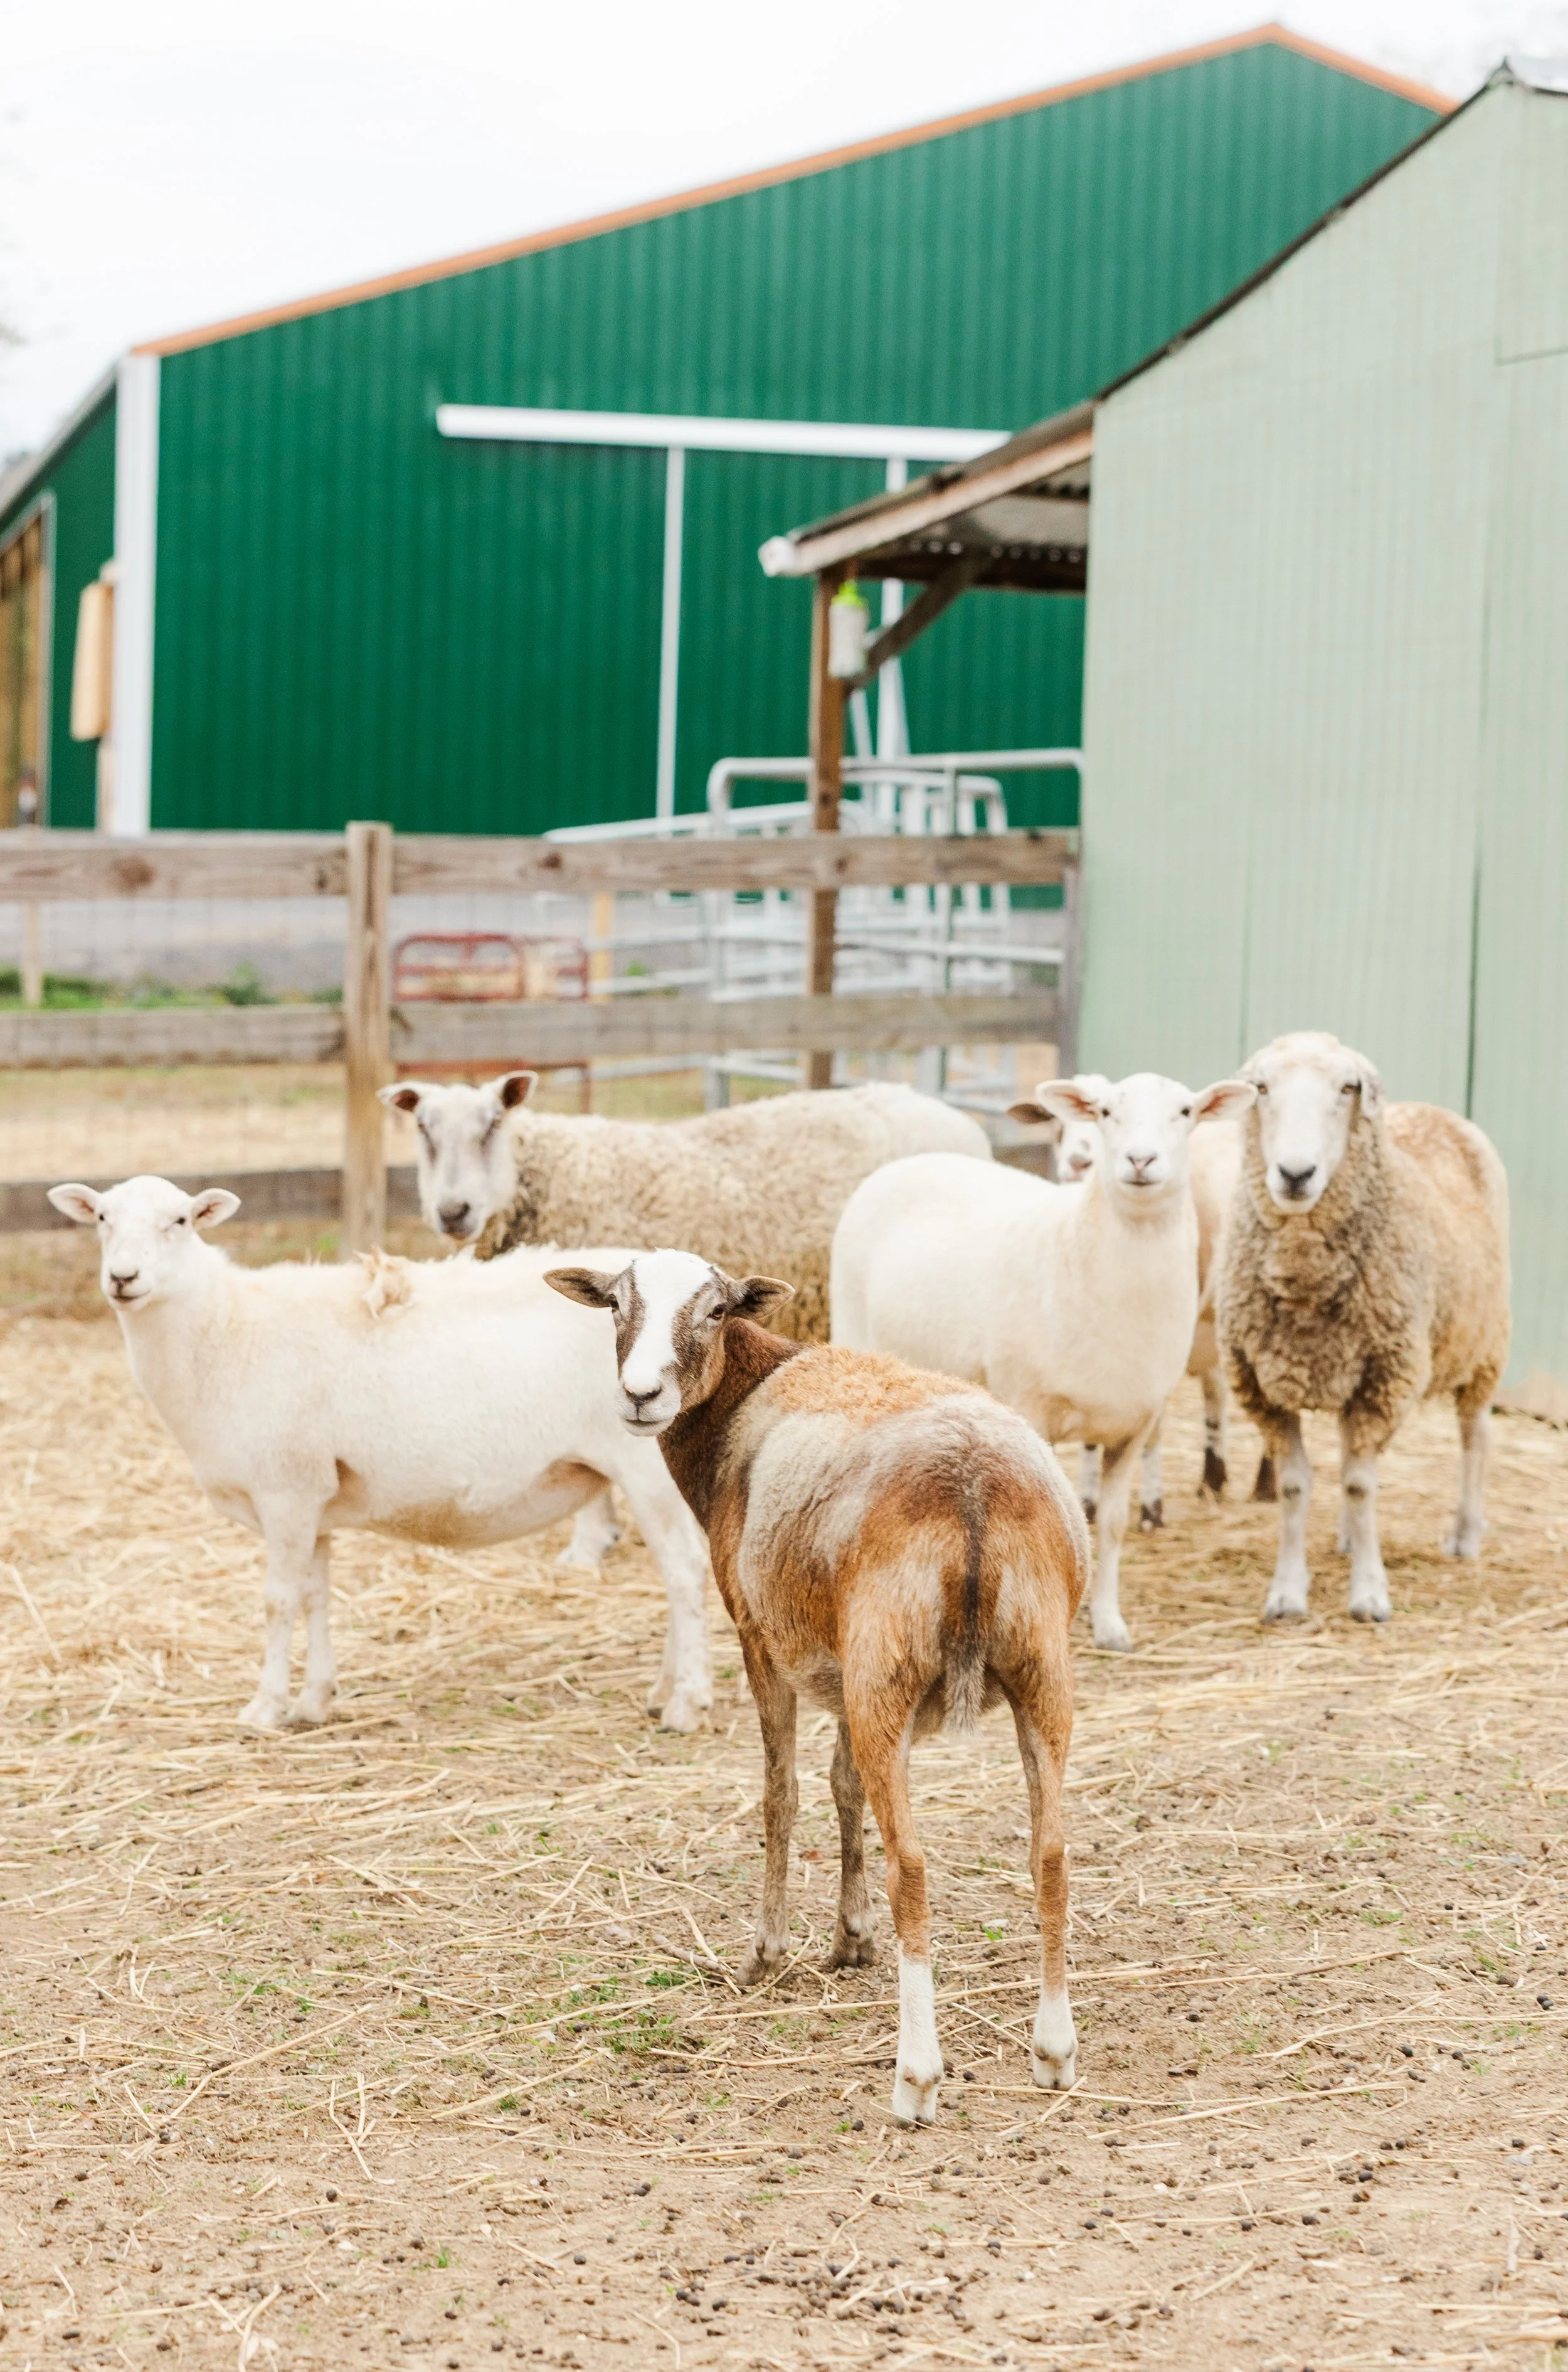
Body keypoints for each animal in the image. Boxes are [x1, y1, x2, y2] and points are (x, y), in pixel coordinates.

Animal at [47, 1175, 714, 1732]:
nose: (123, 1279)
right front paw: (314, 1700)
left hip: (646, 1469)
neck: (223, 1329)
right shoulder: (313, 1497)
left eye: (180, 1221)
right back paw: (663, 1689)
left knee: (684, 1573)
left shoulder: (285, 1490)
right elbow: (315, 1596)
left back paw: (686, 1704)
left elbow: (277, 1600)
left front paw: (264, 1708)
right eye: (102, 1217)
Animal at [546, 1247, 1088, 2125]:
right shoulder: (837, 1661)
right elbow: (843, 1786)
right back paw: (1053, 2050)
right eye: (618, 1305)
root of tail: (973, 1488)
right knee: (1050, 1853)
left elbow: (782, 1794)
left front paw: (767, 1954)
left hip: (891, 1664)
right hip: (1029, 1667)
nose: (640, 1394)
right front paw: (850, 1938)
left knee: (914, 1867)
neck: (744, 1398)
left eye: (716, 1310)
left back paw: (915, 2076)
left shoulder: (761, 1636)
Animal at [831, 1071, 1255, 1651]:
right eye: (1105, 1112)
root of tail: (910, 1161)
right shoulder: (1031, 1408)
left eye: (1186, 1111)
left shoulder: (1136, 1423)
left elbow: (1112, 1524)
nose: (1140, 1160)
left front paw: (1109, 1623)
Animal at [1216, 1031, 1510, 1626]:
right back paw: (1350, 1537)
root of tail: (1438, 1111)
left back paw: (1465, 1533)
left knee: (1476, 1437)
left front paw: (1370, 1594)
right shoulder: (1263, 1384)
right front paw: (1287, 1593)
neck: (1305, 1278)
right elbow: (1295, 1485)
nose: (1296, 1174)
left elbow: (1359, 1483)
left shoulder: (1385, 1375)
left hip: (1484, 1344)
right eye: (1262, 1088)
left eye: (1347, 1088)